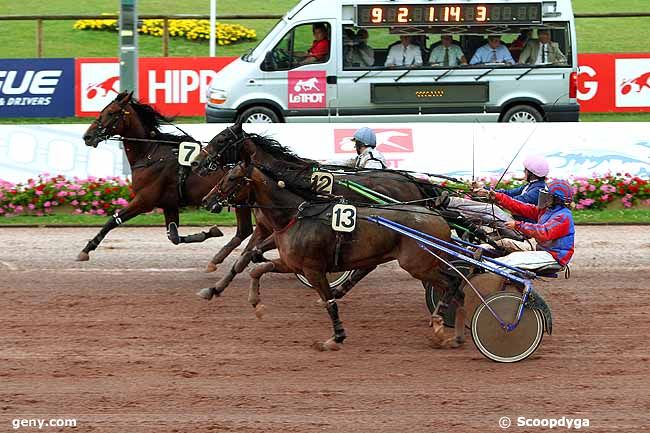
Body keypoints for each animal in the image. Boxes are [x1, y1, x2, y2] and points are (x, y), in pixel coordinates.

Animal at [78, 91, 248, 266]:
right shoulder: (169, 204)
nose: (88, 136)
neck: (150, 154)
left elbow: (113, 220)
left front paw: (87, 249)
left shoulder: (144, 201)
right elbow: (173, 236)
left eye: (111, 113)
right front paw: (210, 232)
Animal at [209, 160, 460, 350]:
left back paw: (439, 323)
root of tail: (438, 216)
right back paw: (453, 333)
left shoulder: (313, 270)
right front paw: (255, 304)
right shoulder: (293, 264)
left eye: (231, 178)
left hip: (419, 265)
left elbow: (330, 303)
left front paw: (336, 337)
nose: (208, 201)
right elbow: (257, 268)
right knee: (456, 288)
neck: (296, 216)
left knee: (453, 282)